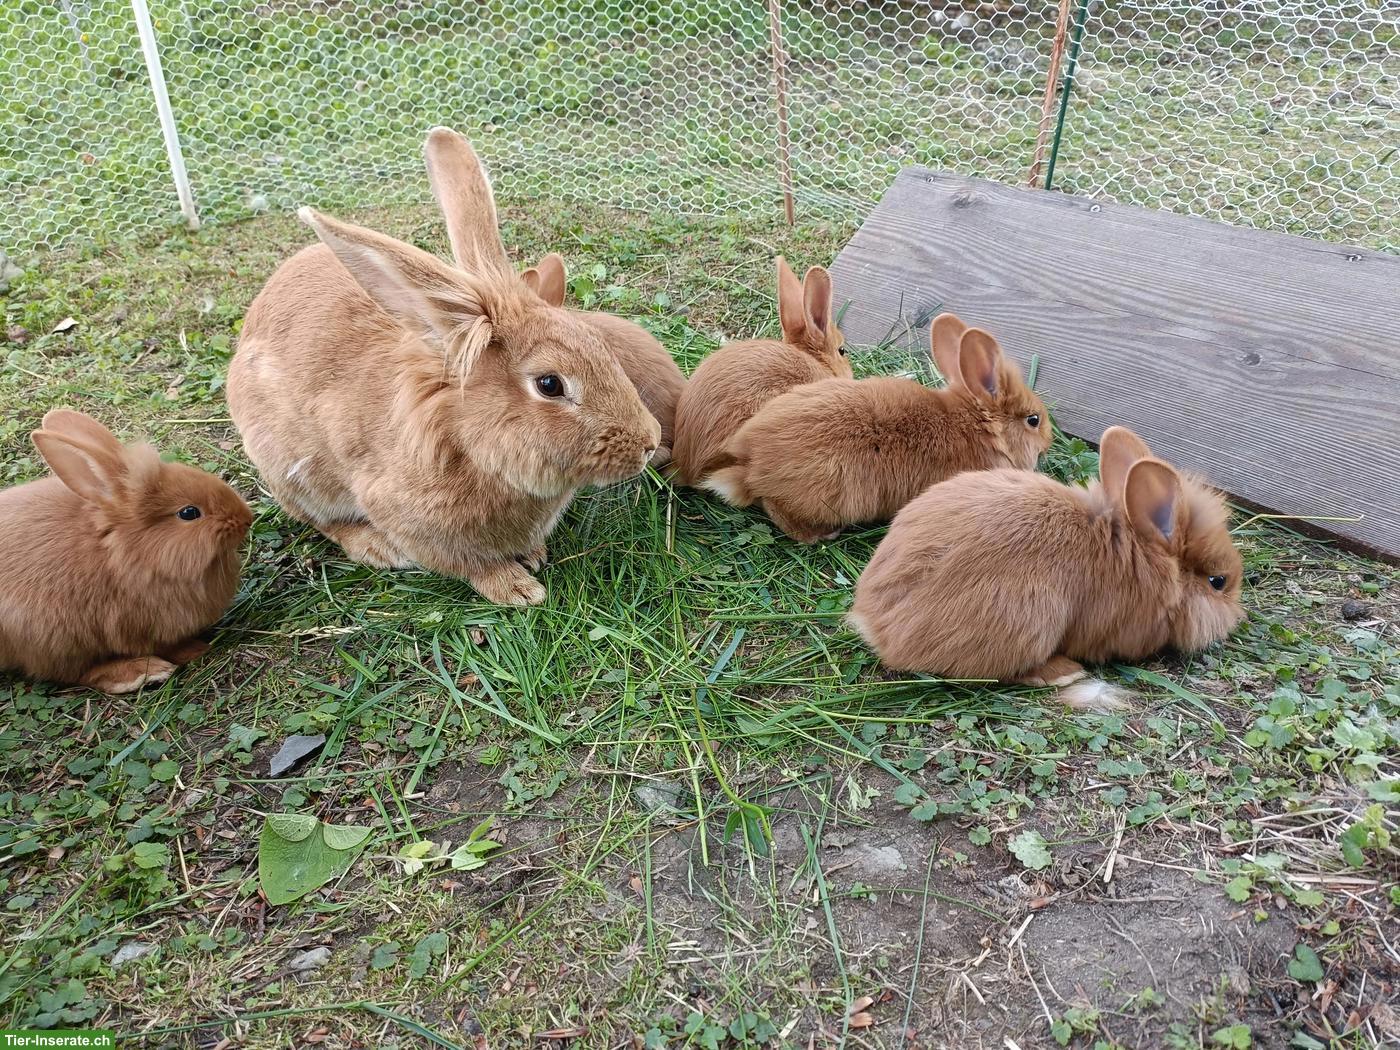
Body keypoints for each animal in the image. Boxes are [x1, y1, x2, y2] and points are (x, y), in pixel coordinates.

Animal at [0, 409, 252, 694]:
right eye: (189, 513)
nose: (246, 519)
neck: (124, 550)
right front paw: (196, 650)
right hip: (48, 639)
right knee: (77, 673)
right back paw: (146, 672)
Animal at [226, 128, 660, 607]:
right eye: (550, 384)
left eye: (601, 346)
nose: (650, 442)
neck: (468, 444)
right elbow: (470, 566)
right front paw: (518, 590)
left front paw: (534, 555)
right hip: (292, 473)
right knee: (323, 520)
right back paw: (375, 547)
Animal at [848, 425, 1245, 712]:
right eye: (1218, 581)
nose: (1237, 617)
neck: (1136, 550)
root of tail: (873, 623)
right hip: (1030, 618)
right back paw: (1064, 673)